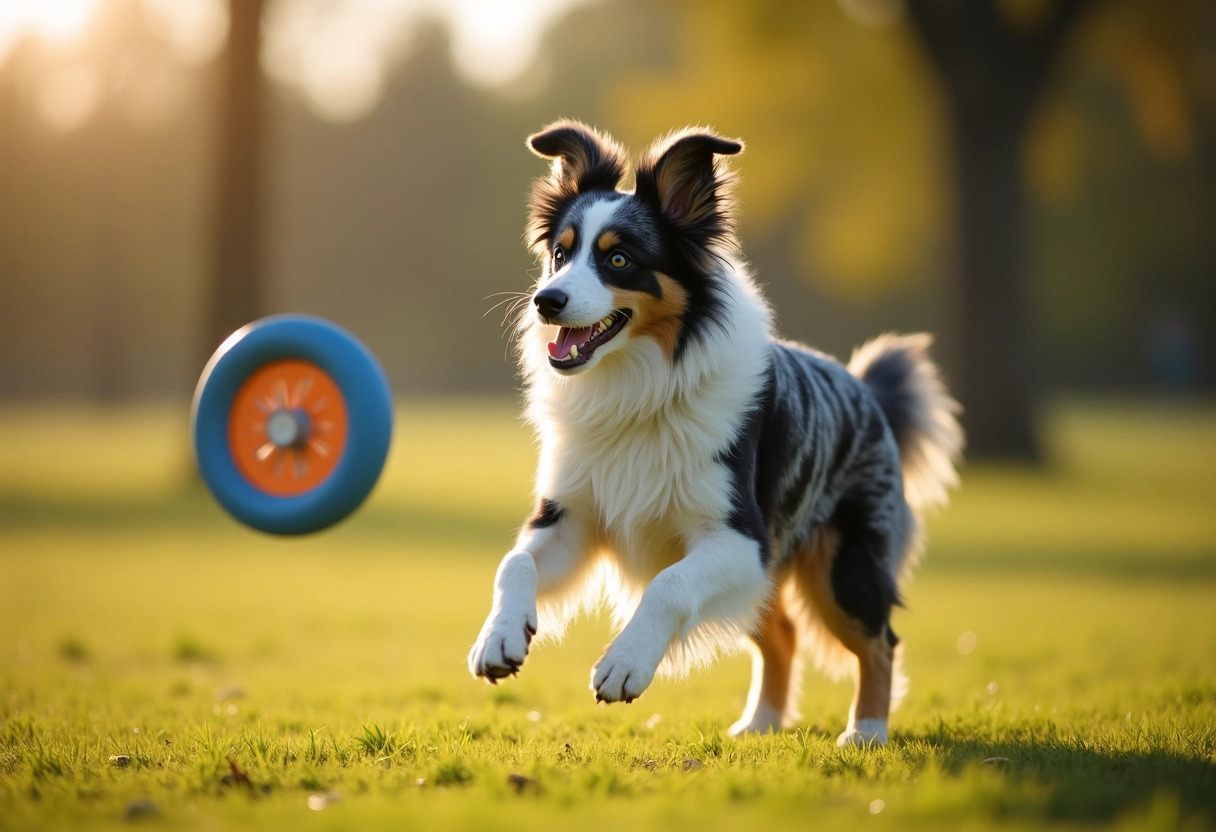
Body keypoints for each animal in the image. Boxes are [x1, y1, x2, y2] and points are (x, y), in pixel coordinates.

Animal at [464, 118, 958, 749]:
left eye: (619, 259)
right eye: (560, 252)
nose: (545, 301)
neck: (639, 388)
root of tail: (868, 389)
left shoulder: (740, 537)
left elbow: (668, 585)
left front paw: (624, 664)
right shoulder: (570, 516)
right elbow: (514, 564)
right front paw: (499, 638)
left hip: (843, 564)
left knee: (879, 640)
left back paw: (866, 730)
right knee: (784, 634)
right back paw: (760, 724)